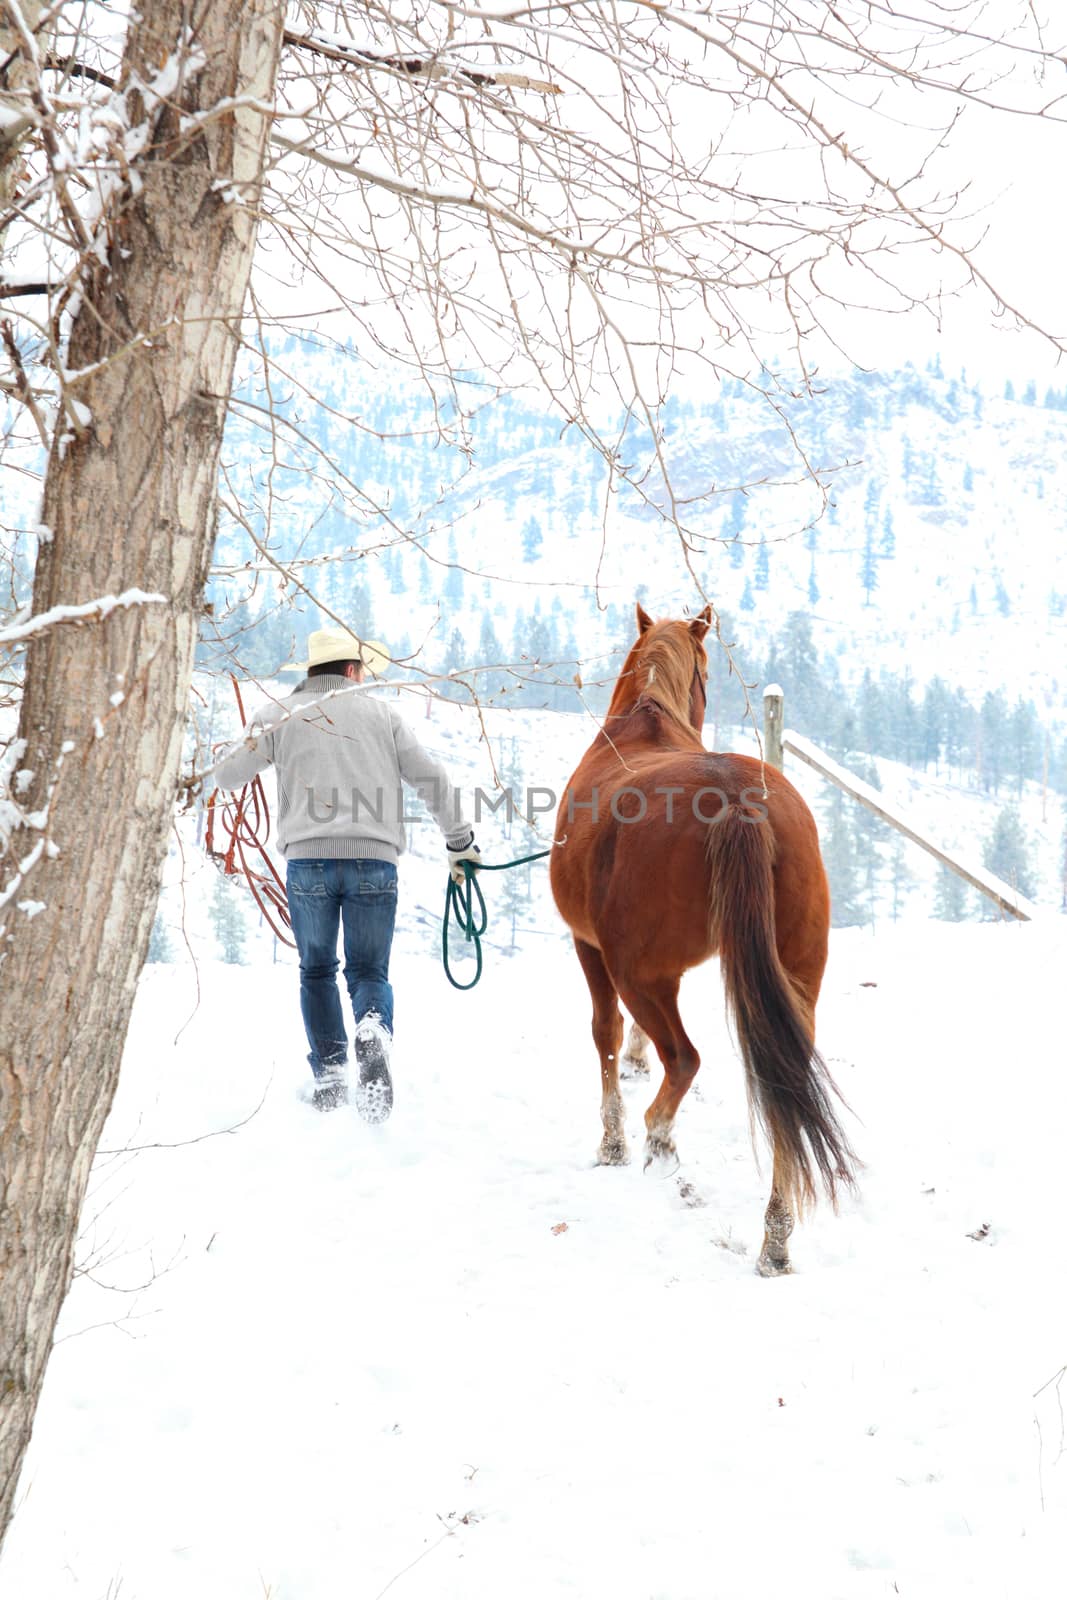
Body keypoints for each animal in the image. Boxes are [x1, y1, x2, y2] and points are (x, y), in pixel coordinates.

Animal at [550, 601, 857, 1273]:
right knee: (782, 1089)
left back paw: (657, 1140)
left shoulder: (591, 949)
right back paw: (775, 1238)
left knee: (684, 1059)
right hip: (795, 981)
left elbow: (605, 1035)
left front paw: (612, 1142)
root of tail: (739, 804)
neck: (643, 728)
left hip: (639, 974)